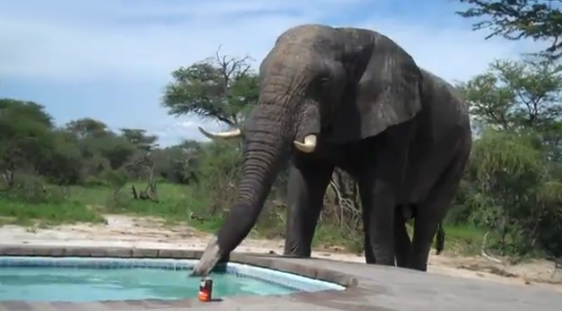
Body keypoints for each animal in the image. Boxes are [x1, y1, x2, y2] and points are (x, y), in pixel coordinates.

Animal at [190, 25, 470, 278]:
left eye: (323, 82)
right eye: (260, 76)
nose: (200, 271)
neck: (348, 37)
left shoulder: (397, 123)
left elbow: (378, 188)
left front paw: (382, 267)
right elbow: (306, 181)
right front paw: (294, 257)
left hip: (459, 154)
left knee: (428, 215)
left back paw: (410, 270)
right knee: (397, 215)